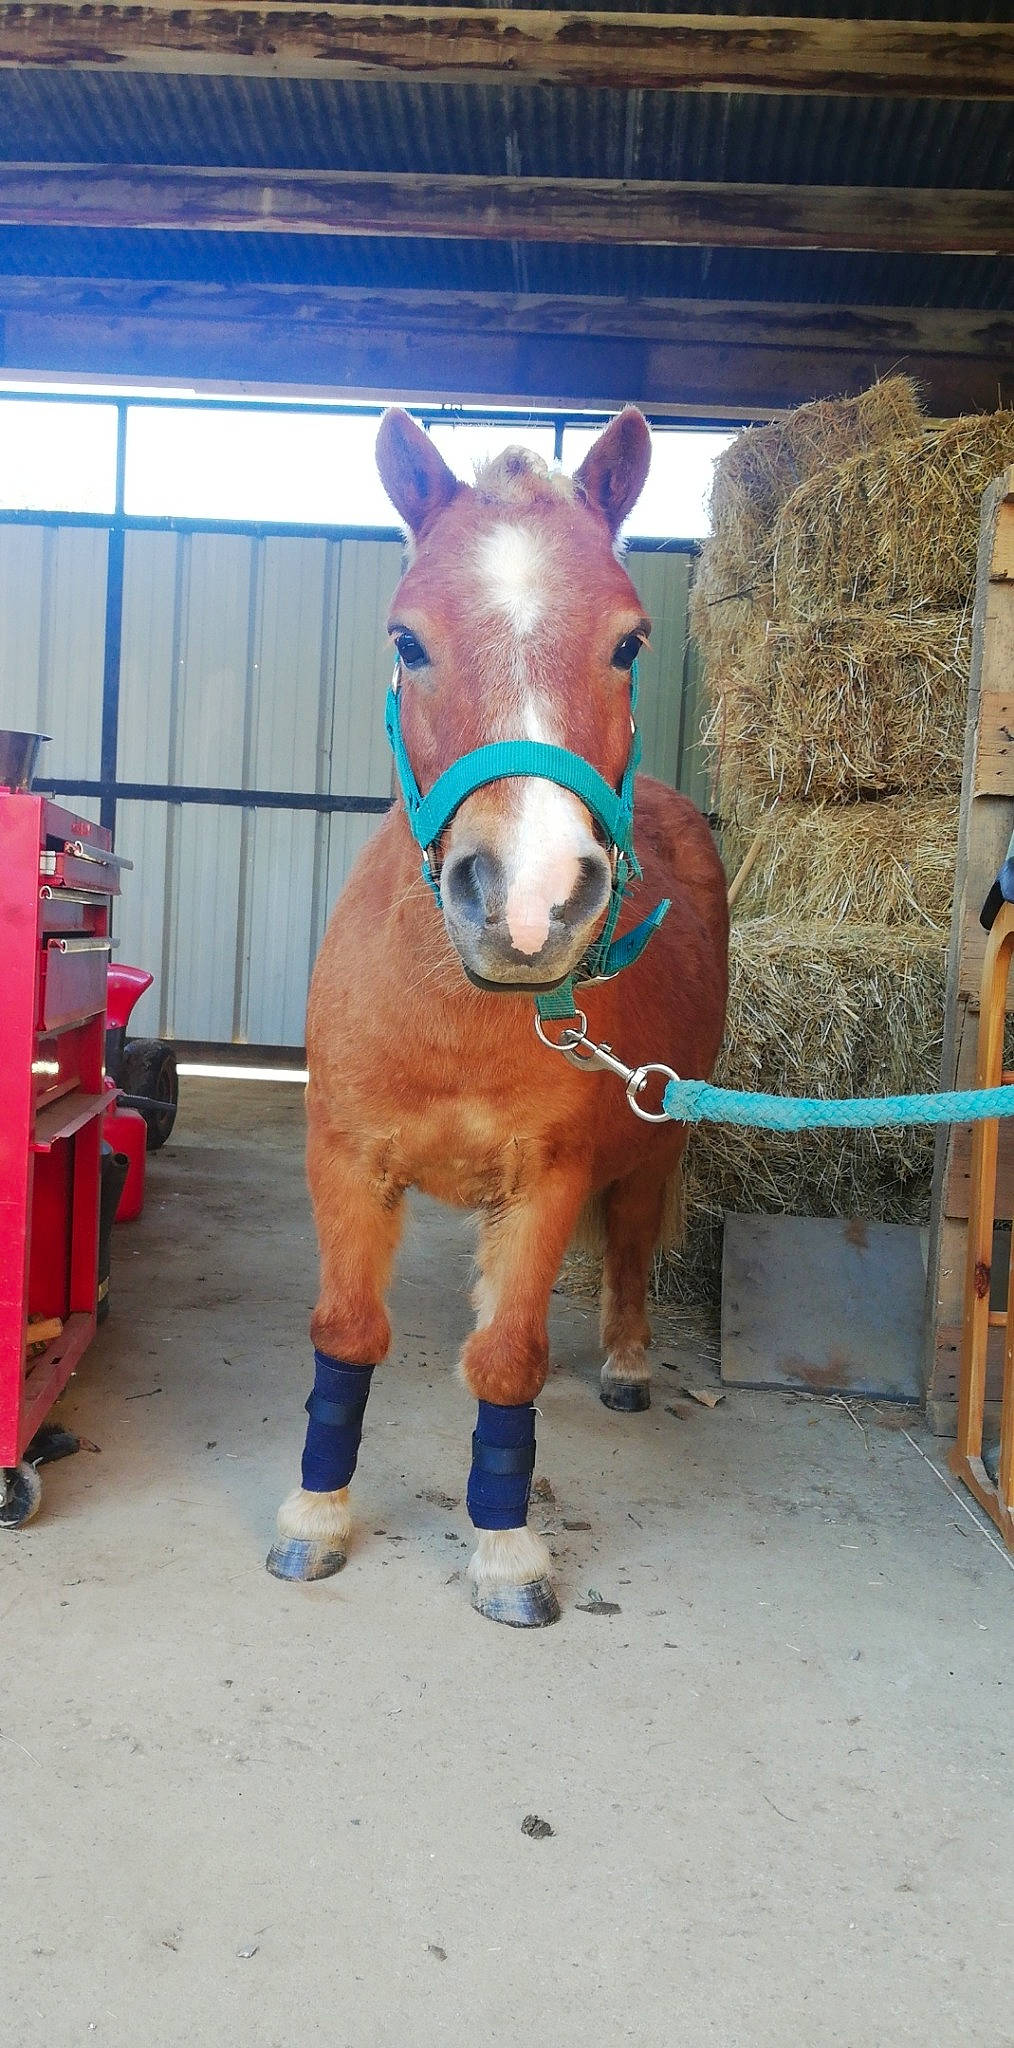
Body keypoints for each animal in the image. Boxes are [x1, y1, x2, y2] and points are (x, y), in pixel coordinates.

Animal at [267, 405, 729, 1626]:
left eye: (630, 644)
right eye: (409, 638)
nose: (528, 902)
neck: (454, 1012)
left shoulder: (552, 1178)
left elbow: (511, 1356)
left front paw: (506, 1547)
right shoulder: (344, 1158)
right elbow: (347, 1334)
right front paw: (315, 1517)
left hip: (655, 1147)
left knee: (629, 1243)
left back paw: (625, 1365)